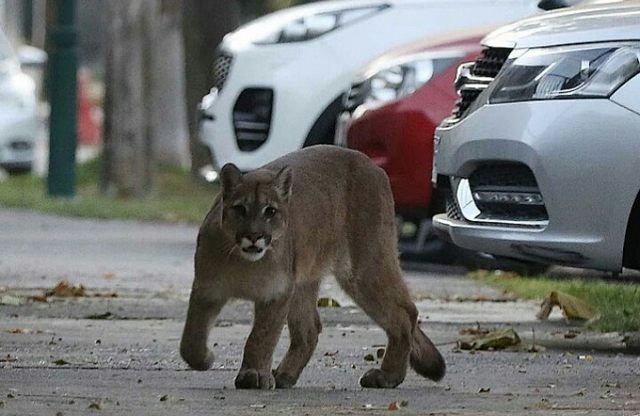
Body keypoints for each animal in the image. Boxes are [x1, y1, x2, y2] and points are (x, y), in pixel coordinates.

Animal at [180, 145, 444, 388]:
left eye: (270, 211)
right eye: (240, 209)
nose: (254, 236)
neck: (245, 263)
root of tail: (371, 164)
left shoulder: (276, 293)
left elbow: (261, 337)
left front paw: (252, 375)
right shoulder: (207, 288)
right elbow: (190, 339)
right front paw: (204, 358)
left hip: (364, 268)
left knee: (406, 314)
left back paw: (387, 376)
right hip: (305, 280)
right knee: (309, 329)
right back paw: (285, 375)